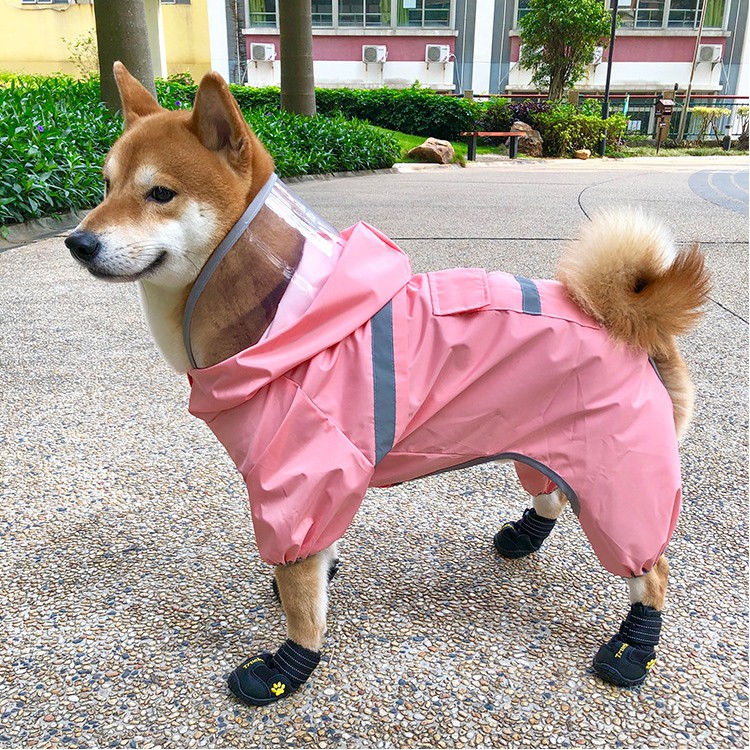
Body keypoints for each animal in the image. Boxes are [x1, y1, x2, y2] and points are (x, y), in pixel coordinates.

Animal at [64, 63, 712, 704]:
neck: (283, 309)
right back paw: (525, 537)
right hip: (548, 439)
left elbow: (300, 596)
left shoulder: (297, 481)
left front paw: (289, 665)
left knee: (650, 568)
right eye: (104, 185)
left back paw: (634, 648)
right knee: (551, 489)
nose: (77, 241)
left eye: (160, 193)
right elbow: (314, 566)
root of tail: (636, 326)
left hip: (618, 476)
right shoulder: (320, 480)